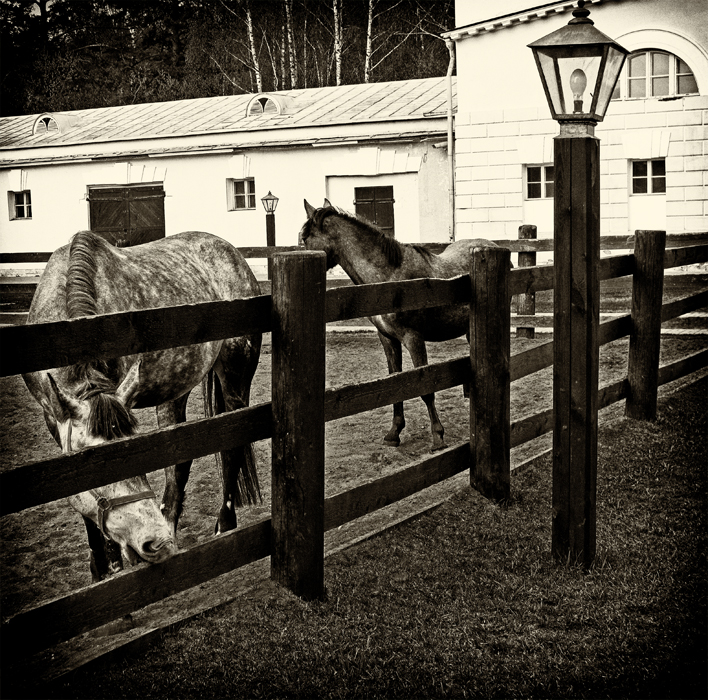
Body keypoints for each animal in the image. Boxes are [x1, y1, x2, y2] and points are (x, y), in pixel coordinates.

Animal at [24, 230, 264, 580]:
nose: (154, 541)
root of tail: (233, 254)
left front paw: (116, 565)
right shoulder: (52, 416)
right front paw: (100, 568)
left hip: (234, 375)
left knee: (232, 445)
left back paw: (223, 525)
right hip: (177, 388)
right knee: (179, 462)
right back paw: (169, 524)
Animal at [300, 201, 498, 454]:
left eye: (304, 240)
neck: (390, 280)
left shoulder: (414, 339)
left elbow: (425, 388)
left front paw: (438, 437)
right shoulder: (388, 339)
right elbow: (395, 383)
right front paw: (394, 433)